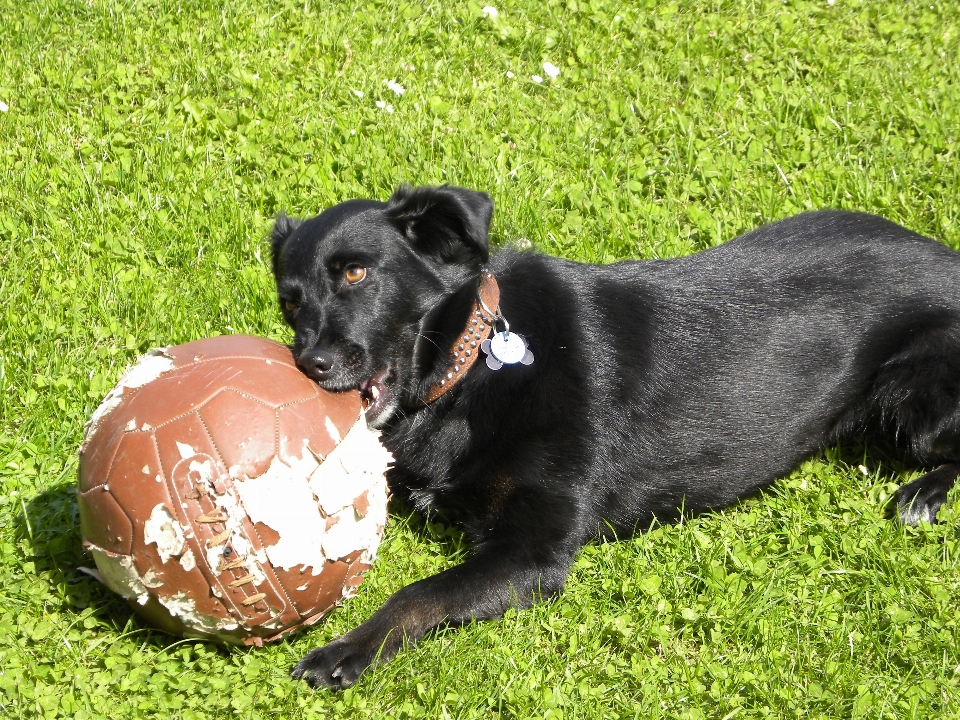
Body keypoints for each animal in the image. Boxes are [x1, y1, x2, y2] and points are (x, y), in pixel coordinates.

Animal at [270, 184, 960, 688]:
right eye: (291, 301)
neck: (475, 364)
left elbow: (417, 594)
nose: (308, 364)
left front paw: (345, 649)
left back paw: (923, 496)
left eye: (357, 274)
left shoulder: (532, 552)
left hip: (911, 403)